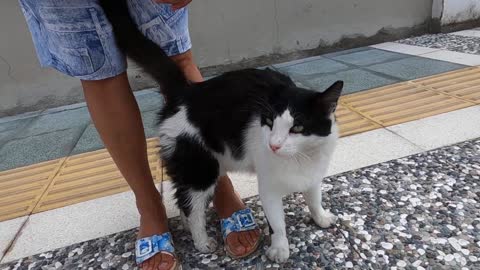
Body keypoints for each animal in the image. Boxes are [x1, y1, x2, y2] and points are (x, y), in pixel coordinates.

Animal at [100, 0, 342, 262]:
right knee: (192, 205)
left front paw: (321, 217)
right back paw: (201, 241)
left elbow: (315, 198)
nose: (274, 145)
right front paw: (279, 249)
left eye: (297, 127)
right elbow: (277, 223)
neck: (300, 158)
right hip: (200, 166)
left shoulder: (313, 174)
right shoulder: (269, 187)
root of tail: (187, 91)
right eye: (269, 122)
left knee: (182, 195)